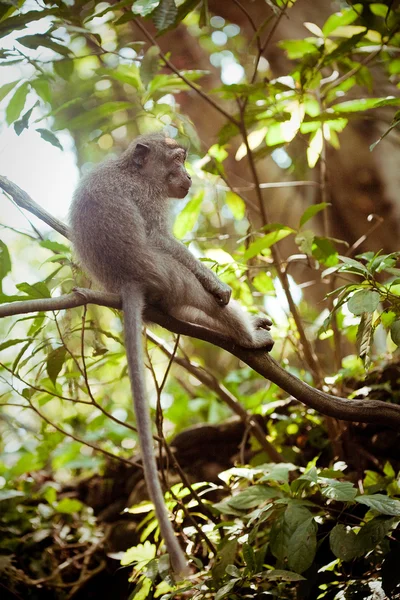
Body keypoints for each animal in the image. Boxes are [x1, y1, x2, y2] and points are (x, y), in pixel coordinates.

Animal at [69, 132, 276, 576]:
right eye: (177, 158)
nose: (188, 175)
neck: (132, 170)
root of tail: (126, 280)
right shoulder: (146, 199)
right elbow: (162, 238)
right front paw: (217, 281)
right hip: (165, 273)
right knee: (197, 289)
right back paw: (245, 336)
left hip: (163, 288)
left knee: (186, 311)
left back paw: (239, 329)